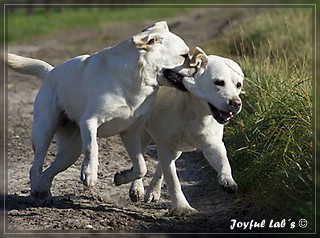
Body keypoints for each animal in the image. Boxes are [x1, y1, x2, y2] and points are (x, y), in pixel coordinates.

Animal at [6, 21, 190, 201]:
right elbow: (92, 147)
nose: (196, 66)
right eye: (184, 56)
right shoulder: (90, 121)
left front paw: (121, 177)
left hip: (70, 152)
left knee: (48, 171)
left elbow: (141, 167)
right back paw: (35, 190)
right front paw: (90, 174)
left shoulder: (130, 132)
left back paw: (43, 191)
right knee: (36, 166)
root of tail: (50, 72)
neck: (136, 80)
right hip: (44, 131)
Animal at [129, 47, 244, 215]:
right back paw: (137, 189)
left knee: (160, 167)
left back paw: (153, 191)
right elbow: (173, 180)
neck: (195, 111)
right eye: (219, 82)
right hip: (144, 135)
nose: (236, 103)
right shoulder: (166, 146)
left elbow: (223, 161)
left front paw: (227, 180)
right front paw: (183, 207)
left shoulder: (213, 145)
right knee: (141, 159)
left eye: (238, 85)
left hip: (176, 149)